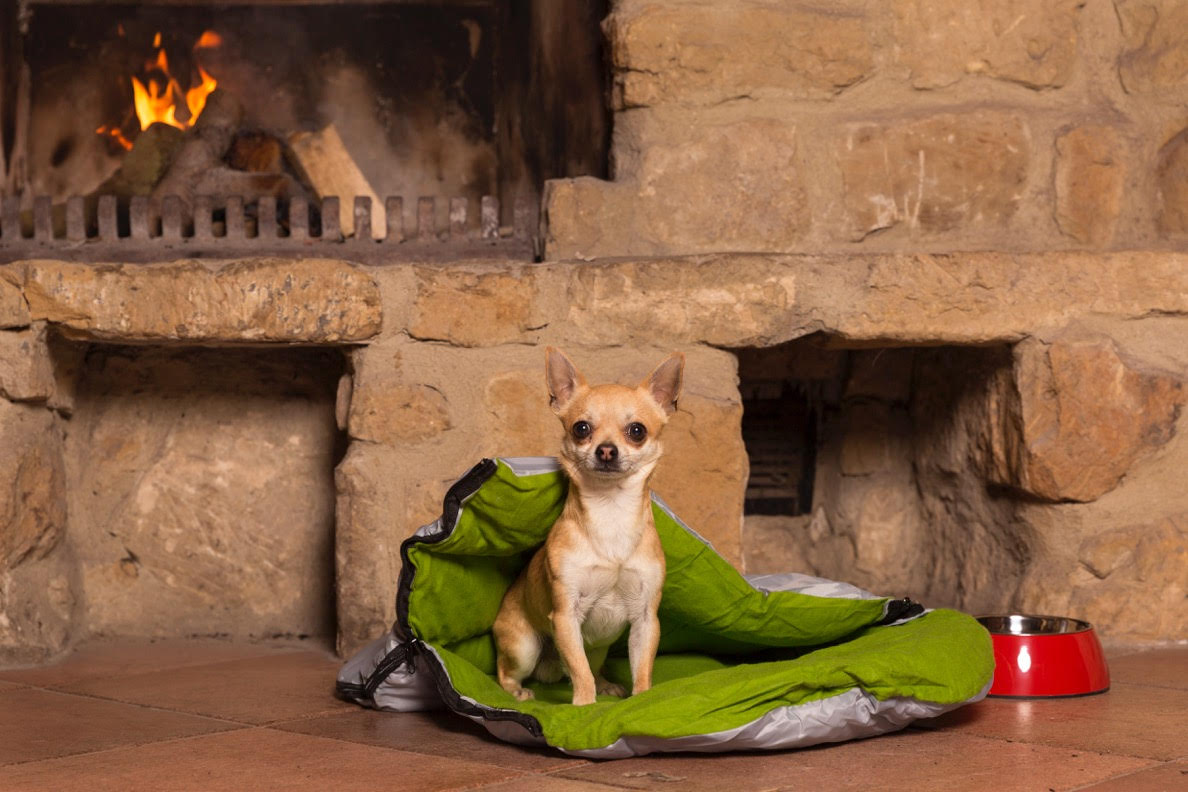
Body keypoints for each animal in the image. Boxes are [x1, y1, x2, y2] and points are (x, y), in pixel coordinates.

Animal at [489, 346, 679, 707]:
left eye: (637, 431)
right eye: (581, 428)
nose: (606, 450)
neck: (610, 511)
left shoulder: (646, 620)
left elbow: (641, 668)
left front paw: (640, 700)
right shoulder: (565, 617)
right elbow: (579, 672)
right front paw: (584, 706)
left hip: (599, 647)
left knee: (592, 665)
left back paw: (606, 684)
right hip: (524, 647)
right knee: (507, 672)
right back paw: (518, 692)